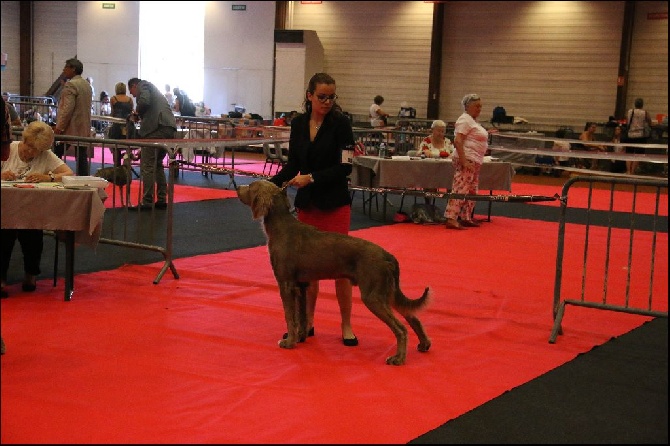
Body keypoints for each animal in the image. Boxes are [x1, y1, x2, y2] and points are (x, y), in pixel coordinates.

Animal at [239, 179, 434, 364]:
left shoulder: (286, 284)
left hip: (373, 295)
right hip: (387, 292)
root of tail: (388, 255)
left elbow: (289, 316)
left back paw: (398, 359)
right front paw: (301, 336)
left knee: (401, 329)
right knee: (412, 316)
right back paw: (423, 344)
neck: (282, 226)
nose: (238, 188)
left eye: (250, 186)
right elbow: (301, 316)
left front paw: (289, 342)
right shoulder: (301, 286)